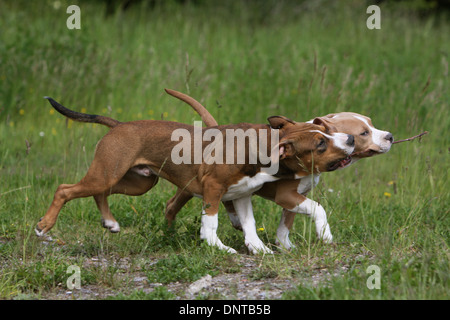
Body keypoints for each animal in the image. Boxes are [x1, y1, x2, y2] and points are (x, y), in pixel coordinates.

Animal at [35, 95, 356, 252]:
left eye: (326, 131)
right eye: (320, 144)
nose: (351, 139)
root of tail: (119, 125)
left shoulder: (242, 194)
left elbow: (250, 225)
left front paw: (258, 249)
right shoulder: (214, 189)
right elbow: (210, 224)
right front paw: (218, 247)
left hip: (136, 181)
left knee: (100, 193)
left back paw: (110, 222)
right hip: (108, 174)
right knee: (64, 189)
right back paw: (44, 226)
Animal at [163, 89, 392, 251]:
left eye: (371, 124)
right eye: (364, 133)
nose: (390, 136)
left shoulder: (297, 196)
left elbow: (286, 223)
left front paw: (285, 246)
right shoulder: (286, 194)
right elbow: (318, 208)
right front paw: (324, 234)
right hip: (190, 186)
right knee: (173, 205)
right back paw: (169, 233)